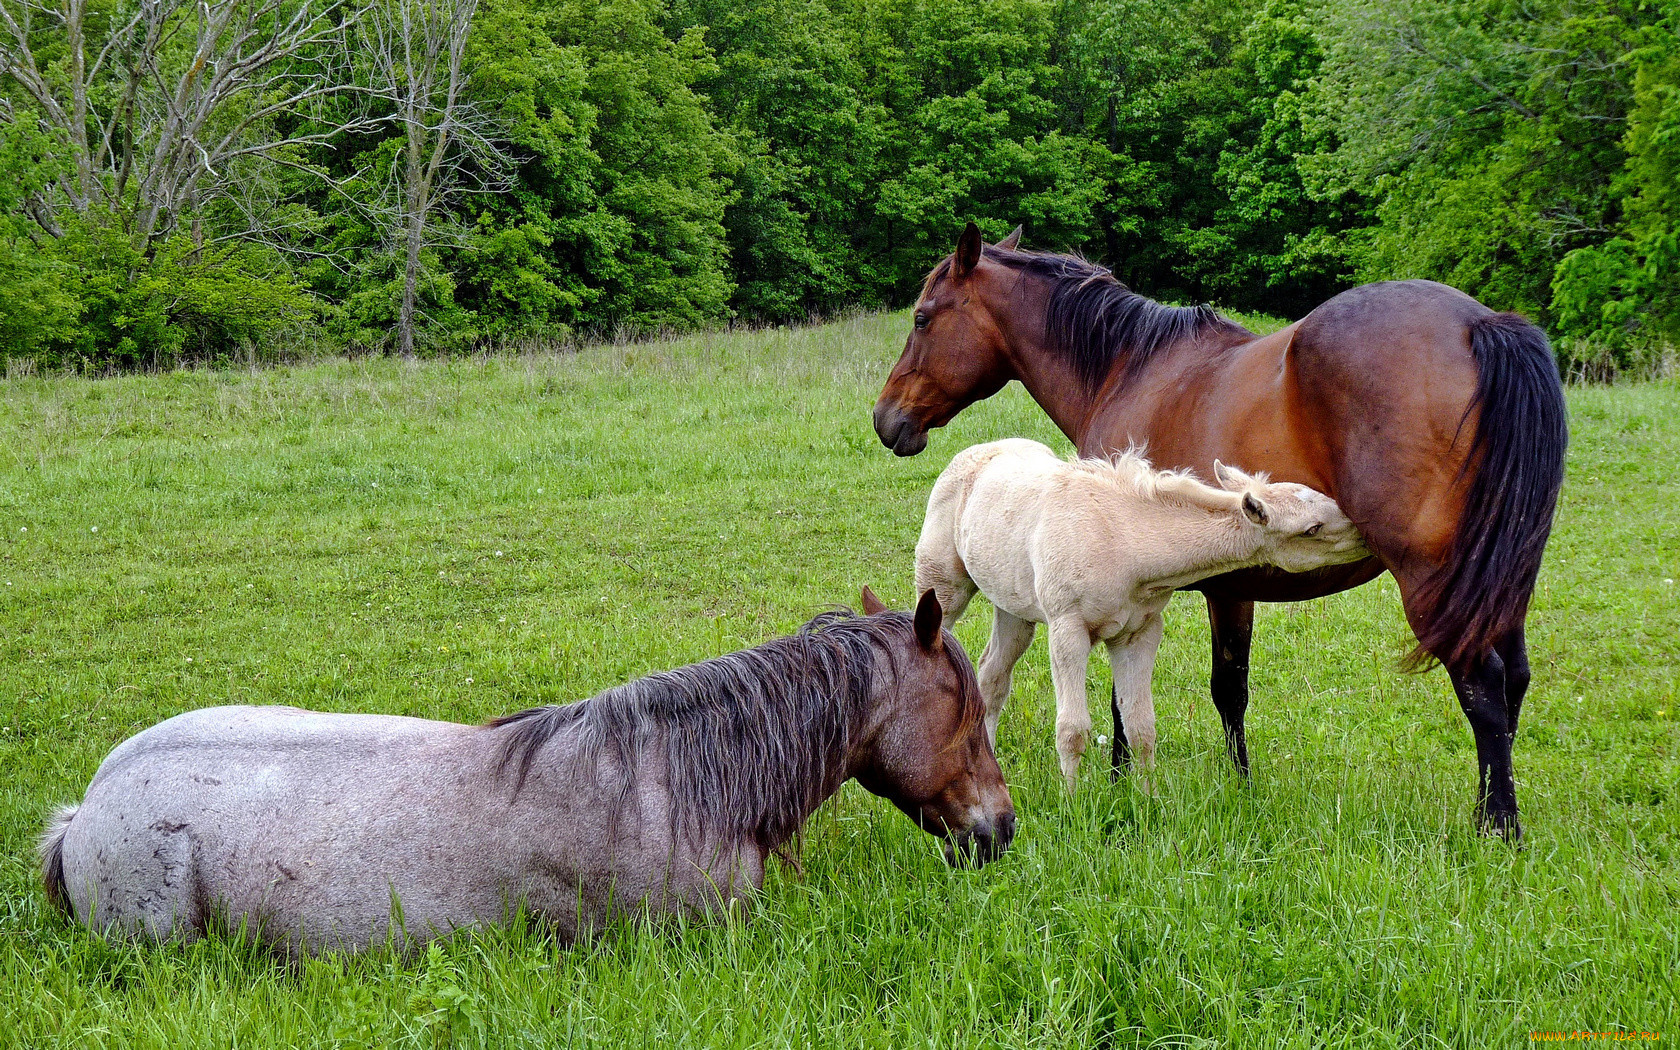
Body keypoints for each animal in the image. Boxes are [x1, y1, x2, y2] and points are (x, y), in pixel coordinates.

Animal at [913, 436, 1370, 789]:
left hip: (1014, 608)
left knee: (992, 676)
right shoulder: (1067, 629)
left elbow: (1141, 726)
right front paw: (1073, 804)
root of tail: (974, 452)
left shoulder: (1140, 632)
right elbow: (1073, 729)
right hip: (942, 586)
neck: (1122, 539)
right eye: (1312, 529)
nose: (1365, 533)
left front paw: (1147, 800)